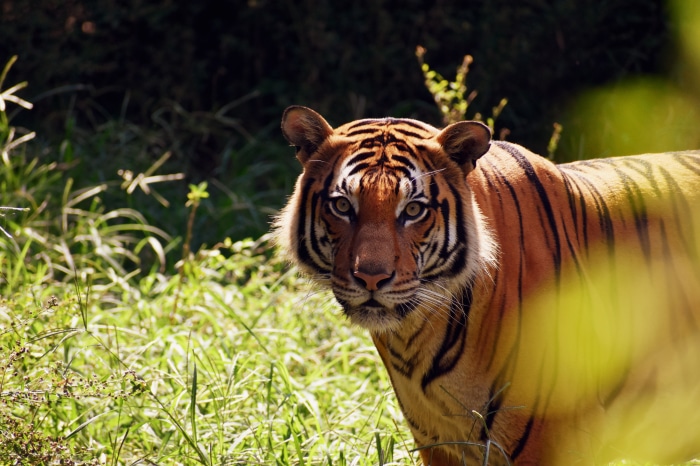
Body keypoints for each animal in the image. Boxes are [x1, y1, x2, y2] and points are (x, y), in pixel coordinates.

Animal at [274, 105, 700, 465]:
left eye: (413, 210)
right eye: (342, 206)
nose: (372, 278)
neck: (416, 338)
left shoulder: (549, 442)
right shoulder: (439, 444)